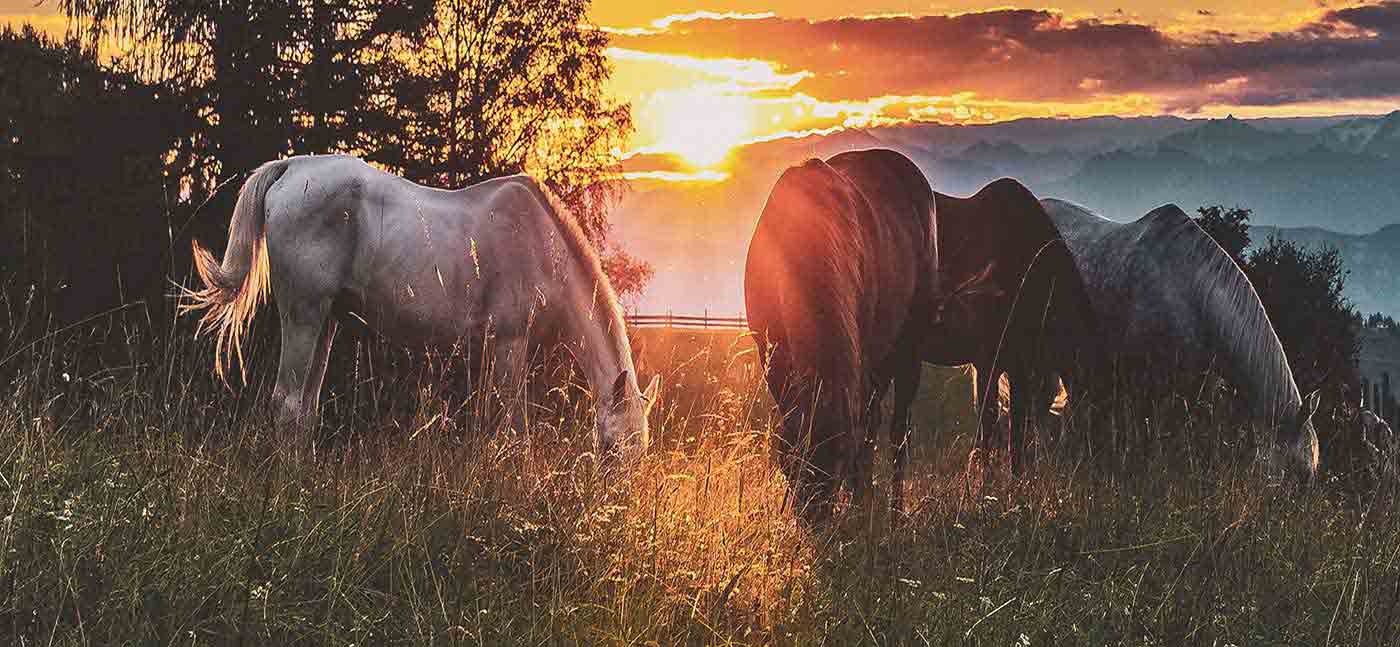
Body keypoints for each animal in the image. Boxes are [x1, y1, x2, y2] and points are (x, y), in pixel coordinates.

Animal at [183, 153, 658, 453]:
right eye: (613, 449)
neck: (541, 244)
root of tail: (290, 168)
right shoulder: (509, 343)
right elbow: (513, 429)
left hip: (325, 321)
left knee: (303, 410)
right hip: (303, 315)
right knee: (286, 403)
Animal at [744, 151, 940, 520]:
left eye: (835, 467)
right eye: (791, 466)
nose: (814, 521)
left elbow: (866, 438)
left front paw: (860, 501)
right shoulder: (772, 358)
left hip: (909, 349)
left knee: (896, 433)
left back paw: (891, 510)